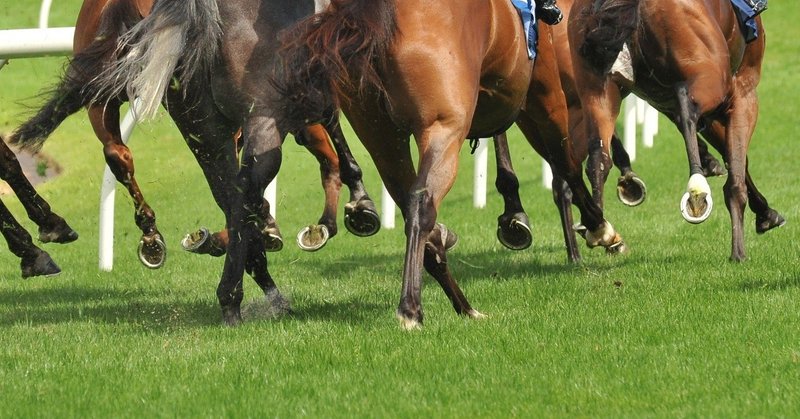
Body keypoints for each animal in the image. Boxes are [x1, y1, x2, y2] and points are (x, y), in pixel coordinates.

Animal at [280, 0, 624, 330]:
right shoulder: (542, 92)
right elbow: (566, 165)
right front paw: (600, 228)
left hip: (380, 135)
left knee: (412, 207)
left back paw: (464, 305)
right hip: (444, 127)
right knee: (422, 204)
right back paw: (412, 309)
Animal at [568, 0, 788, 262]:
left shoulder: (670, 104)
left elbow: (732, 157)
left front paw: (765, 213)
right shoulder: (743, 91)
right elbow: (736, 165)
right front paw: (744, 243)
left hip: (597, 91)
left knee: (597, 158)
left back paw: (598, 226)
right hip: (711, 81)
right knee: (688, 108)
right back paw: (697, 190)